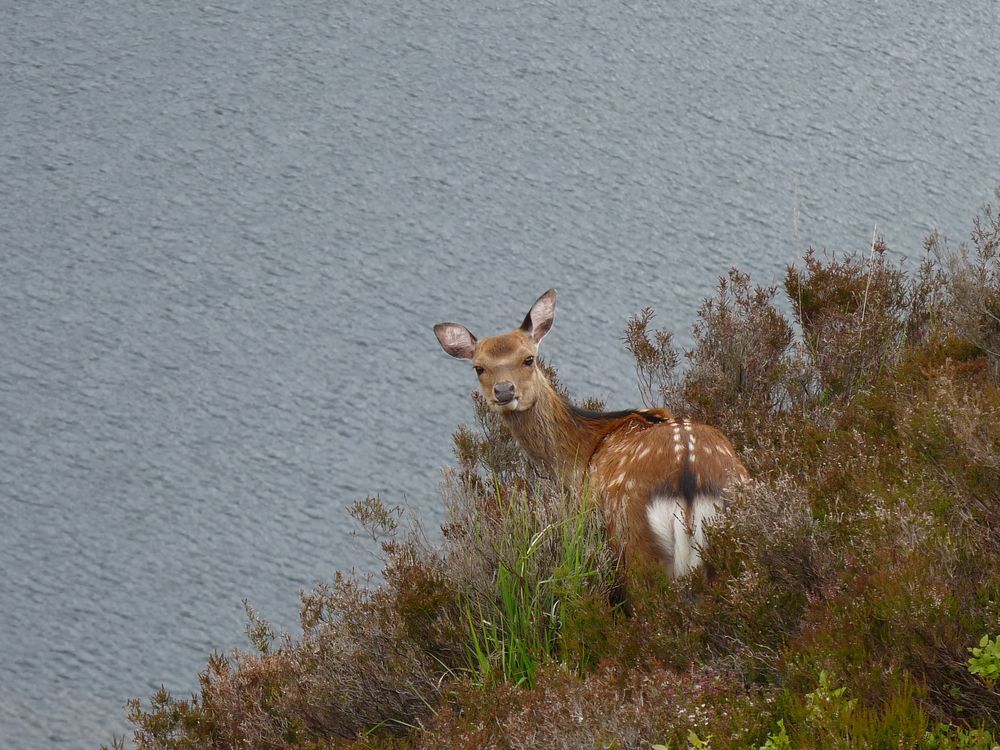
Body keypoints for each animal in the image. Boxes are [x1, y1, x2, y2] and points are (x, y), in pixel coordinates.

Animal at [434, 290, 748, 580]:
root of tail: (689, 482)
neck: (581, 455)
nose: (504, 391)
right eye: (479, 368)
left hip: (633, 541)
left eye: (528, 359)